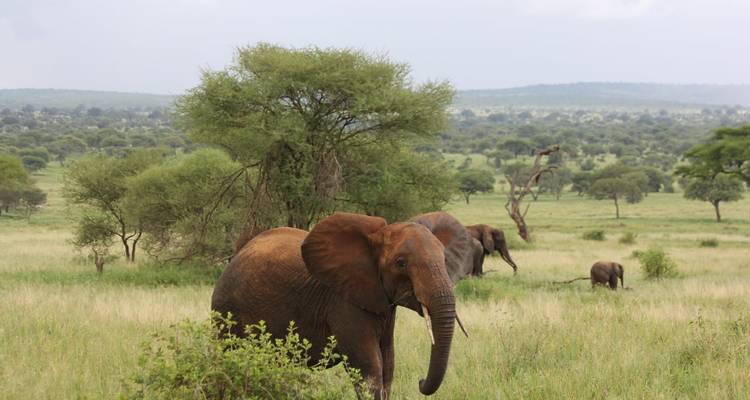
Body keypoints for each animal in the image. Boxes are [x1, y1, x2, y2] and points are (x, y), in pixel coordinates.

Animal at [211, 211, 472, 399]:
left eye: (445, 259)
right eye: (401, 263)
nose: (420, 381)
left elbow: (388, 366)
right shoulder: (343, 302)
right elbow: (370, 370)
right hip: (226, 309)